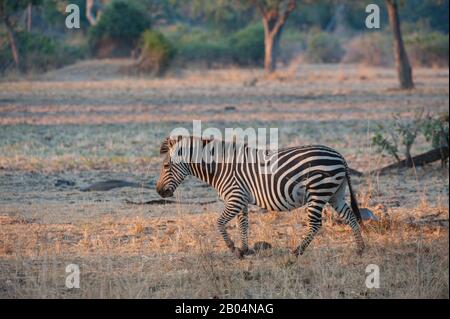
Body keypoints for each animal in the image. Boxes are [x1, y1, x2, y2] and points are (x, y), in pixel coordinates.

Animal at [156, 136, 364, 258]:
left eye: (166, 166)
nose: (159, 192)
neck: (220, 168)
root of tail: (340, 156)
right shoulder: (240, 199)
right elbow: (243, 224)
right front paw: (244, 250)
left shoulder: (235, 198)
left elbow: (219, 222)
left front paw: (233, 248)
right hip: (335, 194)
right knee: (350, 217)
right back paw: (360, 249)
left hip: (318, 191)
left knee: (315, 224)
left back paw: (297, 251)